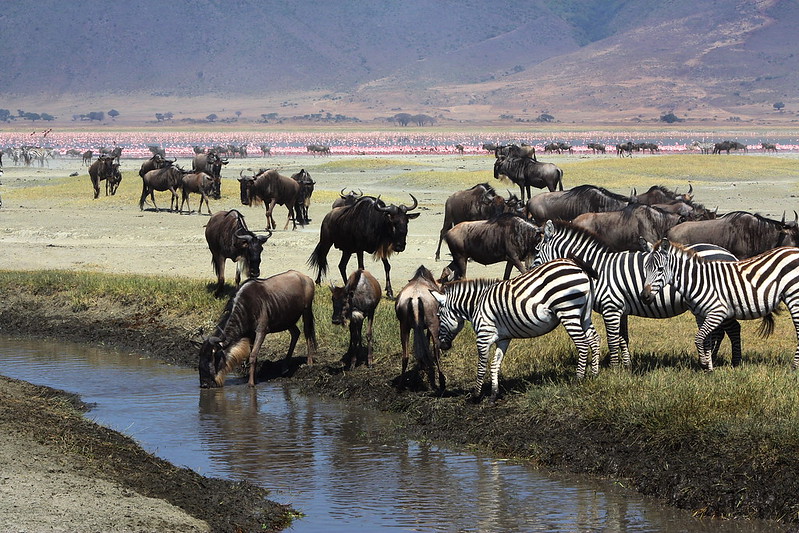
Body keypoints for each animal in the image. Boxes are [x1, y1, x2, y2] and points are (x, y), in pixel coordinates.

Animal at [431, 257, 601, 402]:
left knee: (582, 344)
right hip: (584, 314)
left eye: (439, 316)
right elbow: (495, 365)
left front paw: (475, 396)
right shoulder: (503, 338)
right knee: (594, 339)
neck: (476, 304)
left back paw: (578, 380)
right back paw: (594, 374)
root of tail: (576, 264)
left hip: (568, 311)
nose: (442, 346)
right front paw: (494, 395)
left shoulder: (483, 336)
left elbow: (481, 366)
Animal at [533, 220, 743, 367]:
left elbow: (612, 339)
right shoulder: (620, 310)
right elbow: (623, 338)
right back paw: (711, 358)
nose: (530, 271)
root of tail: (729, 254)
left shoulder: (611, 307)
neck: (599, 269)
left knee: (732, 328)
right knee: (720, 331)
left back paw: (733, 362)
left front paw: (614, 368)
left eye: (536, 251)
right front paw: (626, 366)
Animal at [641, 239, 799, 371]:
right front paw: (708, 368)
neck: (697, 281)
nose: (644, 296)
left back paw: (794, 367)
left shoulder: (717, 312)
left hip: (794, 297)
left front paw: (704, 363)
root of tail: (794, 250)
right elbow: (706, 340)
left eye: (660, 269)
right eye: (645, 268)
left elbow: (699, 338)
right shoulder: (701, 315)